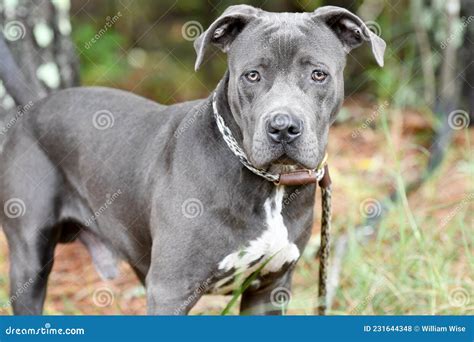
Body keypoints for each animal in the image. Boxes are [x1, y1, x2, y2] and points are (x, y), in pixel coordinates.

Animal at [0, 5, 386, 316]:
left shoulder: (270, 290)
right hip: (29, 260)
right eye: (252, 75)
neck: (266, 185)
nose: (283, 127)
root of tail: (35, 107)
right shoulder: (171, 290)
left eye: (318, 74)